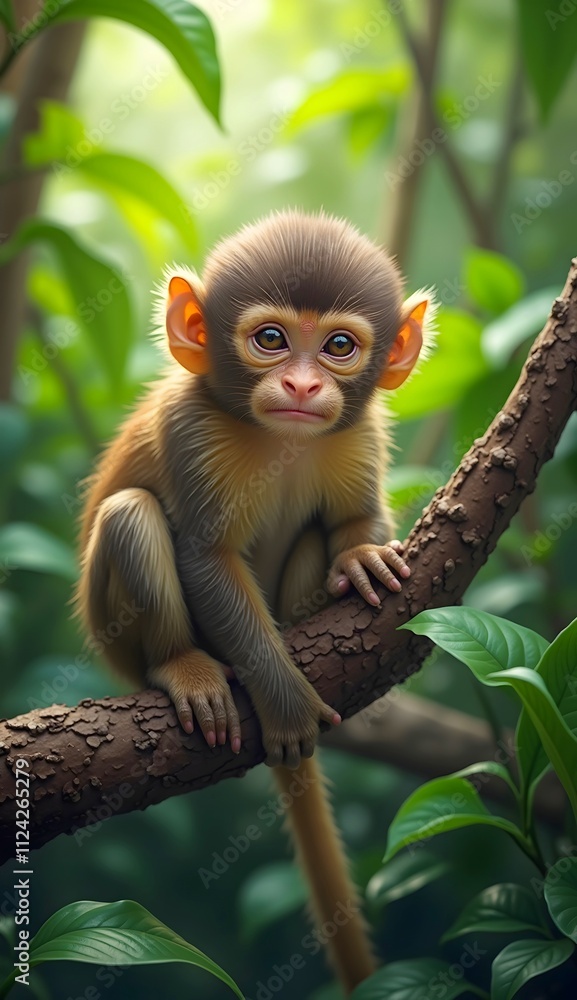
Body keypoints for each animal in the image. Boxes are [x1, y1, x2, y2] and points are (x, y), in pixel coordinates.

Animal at [76, 210, 432, 995]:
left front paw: (360, 558)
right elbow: (206, 560)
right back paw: (184, 667)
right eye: (270, 339)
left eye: (337, 346)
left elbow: (354, 521)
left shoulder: (362, 429)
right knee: (131, 515)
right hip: (120, 643)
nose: (300, 383)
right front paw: (288, 704)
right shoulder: (191, 426)